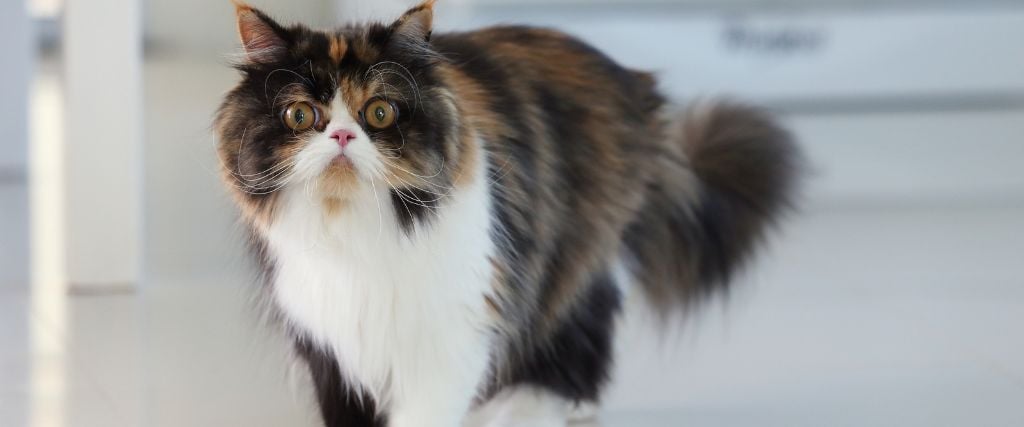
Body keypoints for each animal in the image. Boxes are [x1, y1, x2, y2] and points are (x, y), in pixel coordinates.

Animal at [216, 1, 802, 423]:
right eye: (300, 115)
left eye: (379, 112)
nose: (341, 136)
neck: (357, 233)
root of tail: (631, 80)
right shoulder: (331, 345)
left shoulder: (454, 331)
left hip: (573, 254)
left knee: (580, 328)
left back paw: (536, 405)